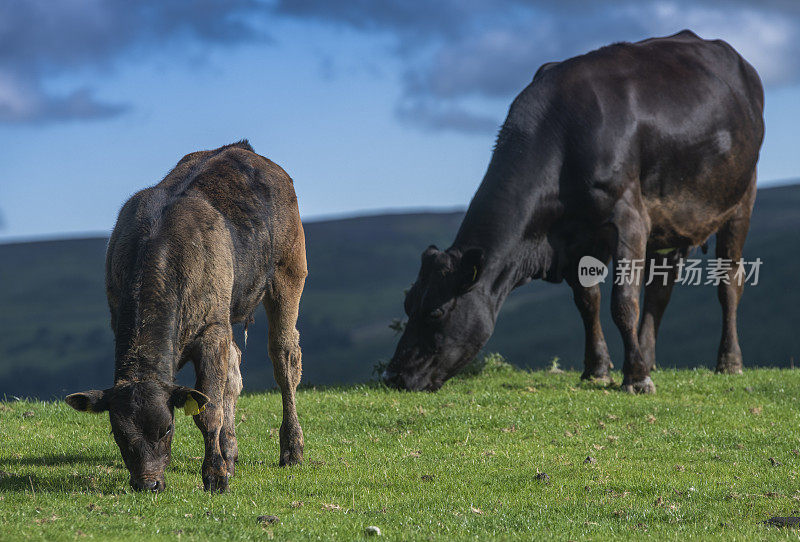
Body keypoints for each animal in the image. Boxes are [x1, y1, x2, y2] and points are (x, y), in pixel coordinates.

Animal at [384, 30, 764, 396]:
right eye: (408, 305)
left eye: (436, 312)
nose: (393, 376)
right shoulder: (574, 239)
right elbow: (587, 300)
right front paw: (598, 370)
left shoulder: (628, 217)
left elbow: (623, 302)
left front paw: (635, 378)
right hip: (671, 222)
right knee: (660, 288)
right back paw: (648, 357)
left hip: (741, 197)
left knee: (729, 282)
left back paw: (728, 362)